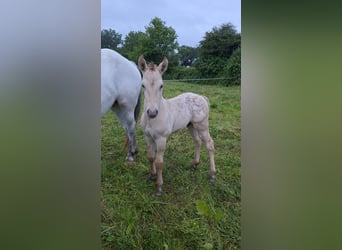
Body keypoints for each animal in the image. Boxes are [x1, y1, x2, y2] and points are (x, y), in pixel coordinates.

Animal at [137, 54, 215, 195]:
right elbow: (150, 157)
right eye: (143, 85)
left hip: (202, 126)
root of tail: (202, 97)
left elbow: (159, 162)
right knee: (197, 142)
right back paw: (194, 165)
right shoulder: (148, 137)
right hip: (191, 126)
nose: (152, 112)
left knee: (209, 145)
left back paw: (212, 175)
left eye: (161, 86)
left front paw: (159, 187)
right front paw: (151, 176)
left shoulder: (161, 139)